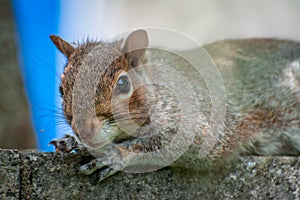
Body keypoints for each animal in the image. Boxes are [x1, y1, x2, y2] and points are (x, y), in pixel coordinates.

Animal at [49, 29, 300, 181]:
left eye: (122, 83)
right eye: (61, 89)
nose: (83, 130)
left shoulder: (198, 116)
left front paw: (116, 155)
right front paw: (71, 141)